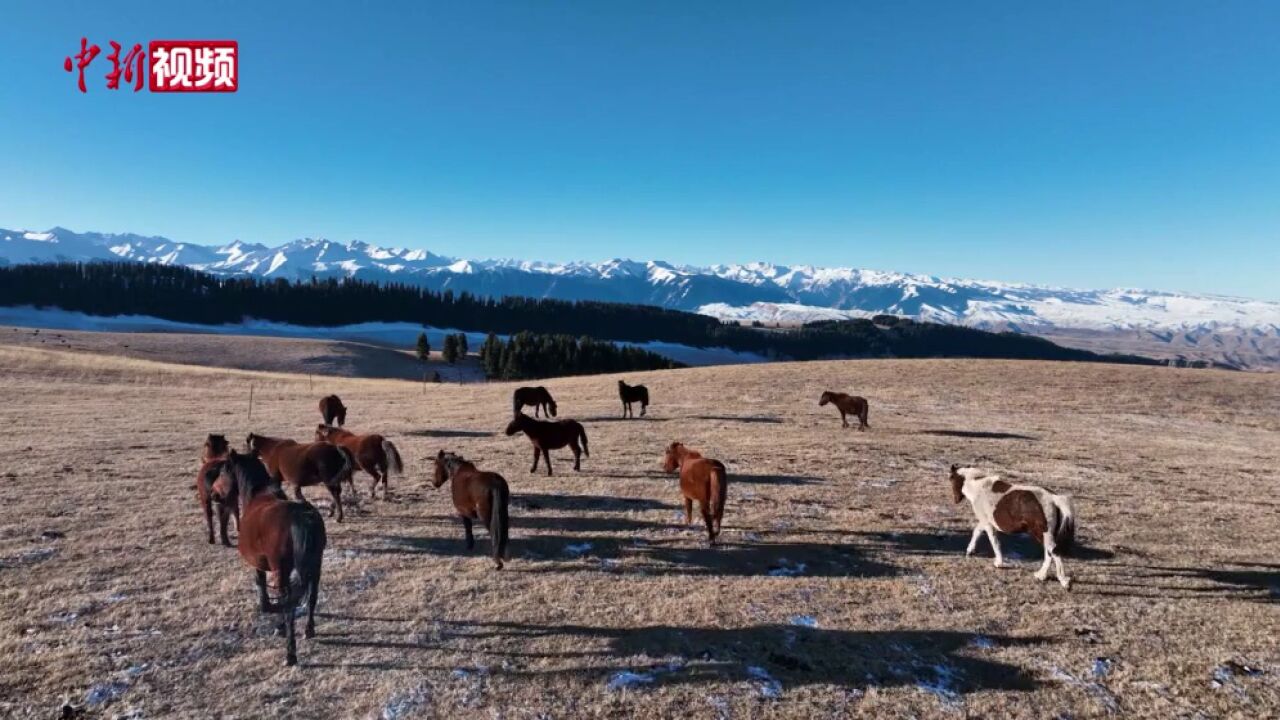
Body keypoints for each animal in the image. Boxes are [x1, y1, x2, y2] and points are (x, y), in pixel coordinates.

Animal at [213, 450, 325, 666]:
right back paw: (309, 630)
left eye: (222, 472)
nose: (214, 495)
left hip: (281, 571)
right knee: (312, 597)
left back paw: (289, 652)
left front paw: (265, 606)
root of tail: (302, 518)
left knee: (288, 605)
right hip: (315, 567)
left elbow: (260, 582)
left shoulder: (259, 563)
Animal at [947, 466, 1075, 589]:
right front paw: (970, 550)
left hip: (1042, 533)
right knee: (1049, 553)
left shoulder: (987, 524)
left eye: (951, 479)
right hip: (1045, 535)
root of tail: (1053, 498)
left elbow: (994, 542)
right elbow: (977, 532)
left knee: (1054, 551)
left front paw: (999, 563)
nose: (956, 500)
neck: (978, 487)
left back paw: (1062, 580)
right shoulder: (984, 522)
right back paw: (1041, 575)